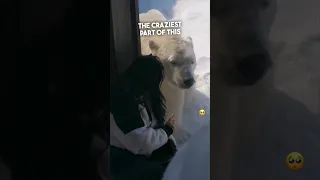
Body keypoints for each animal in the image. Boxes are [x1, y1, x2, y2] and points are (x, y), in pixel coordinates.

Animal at [139, 9, 196, 138]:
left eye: (192, 61)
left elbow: (175, 101)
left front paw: (181, 133)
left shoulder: (173, 86)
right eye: (173, 61)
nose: (188, 81)